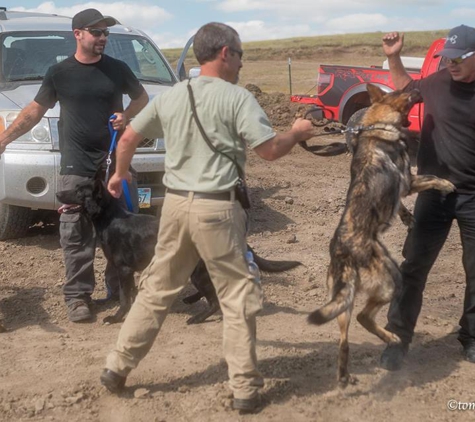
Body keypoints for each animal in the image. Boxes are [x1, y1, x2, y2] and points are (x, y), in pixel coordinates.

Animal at [55, 177, 302, 324]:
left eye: (78, 191)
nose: (58, 194)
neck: (111, 218)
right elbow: (128, 295)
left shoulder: (124, 270)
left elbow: (125, 298)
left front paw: (117, 317)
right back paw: (192, 300)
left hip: (198, 272)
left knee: (214, 301)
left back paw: (198, 317)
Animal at [306, 84, 456, 388]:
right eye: (406, 92)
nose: (418, 86)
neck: (378, 127)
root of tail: (342, 251)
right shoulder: (409, 180)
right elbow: (432, 178)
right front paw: (447, 185)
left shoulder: (401, 188)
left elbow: (400, 205)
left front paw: (408, 218)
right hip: (392, 279)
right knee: (364, 317)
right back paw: (392, 338)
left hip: (343, 302)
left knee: (344, 339)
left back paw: (344, 375)